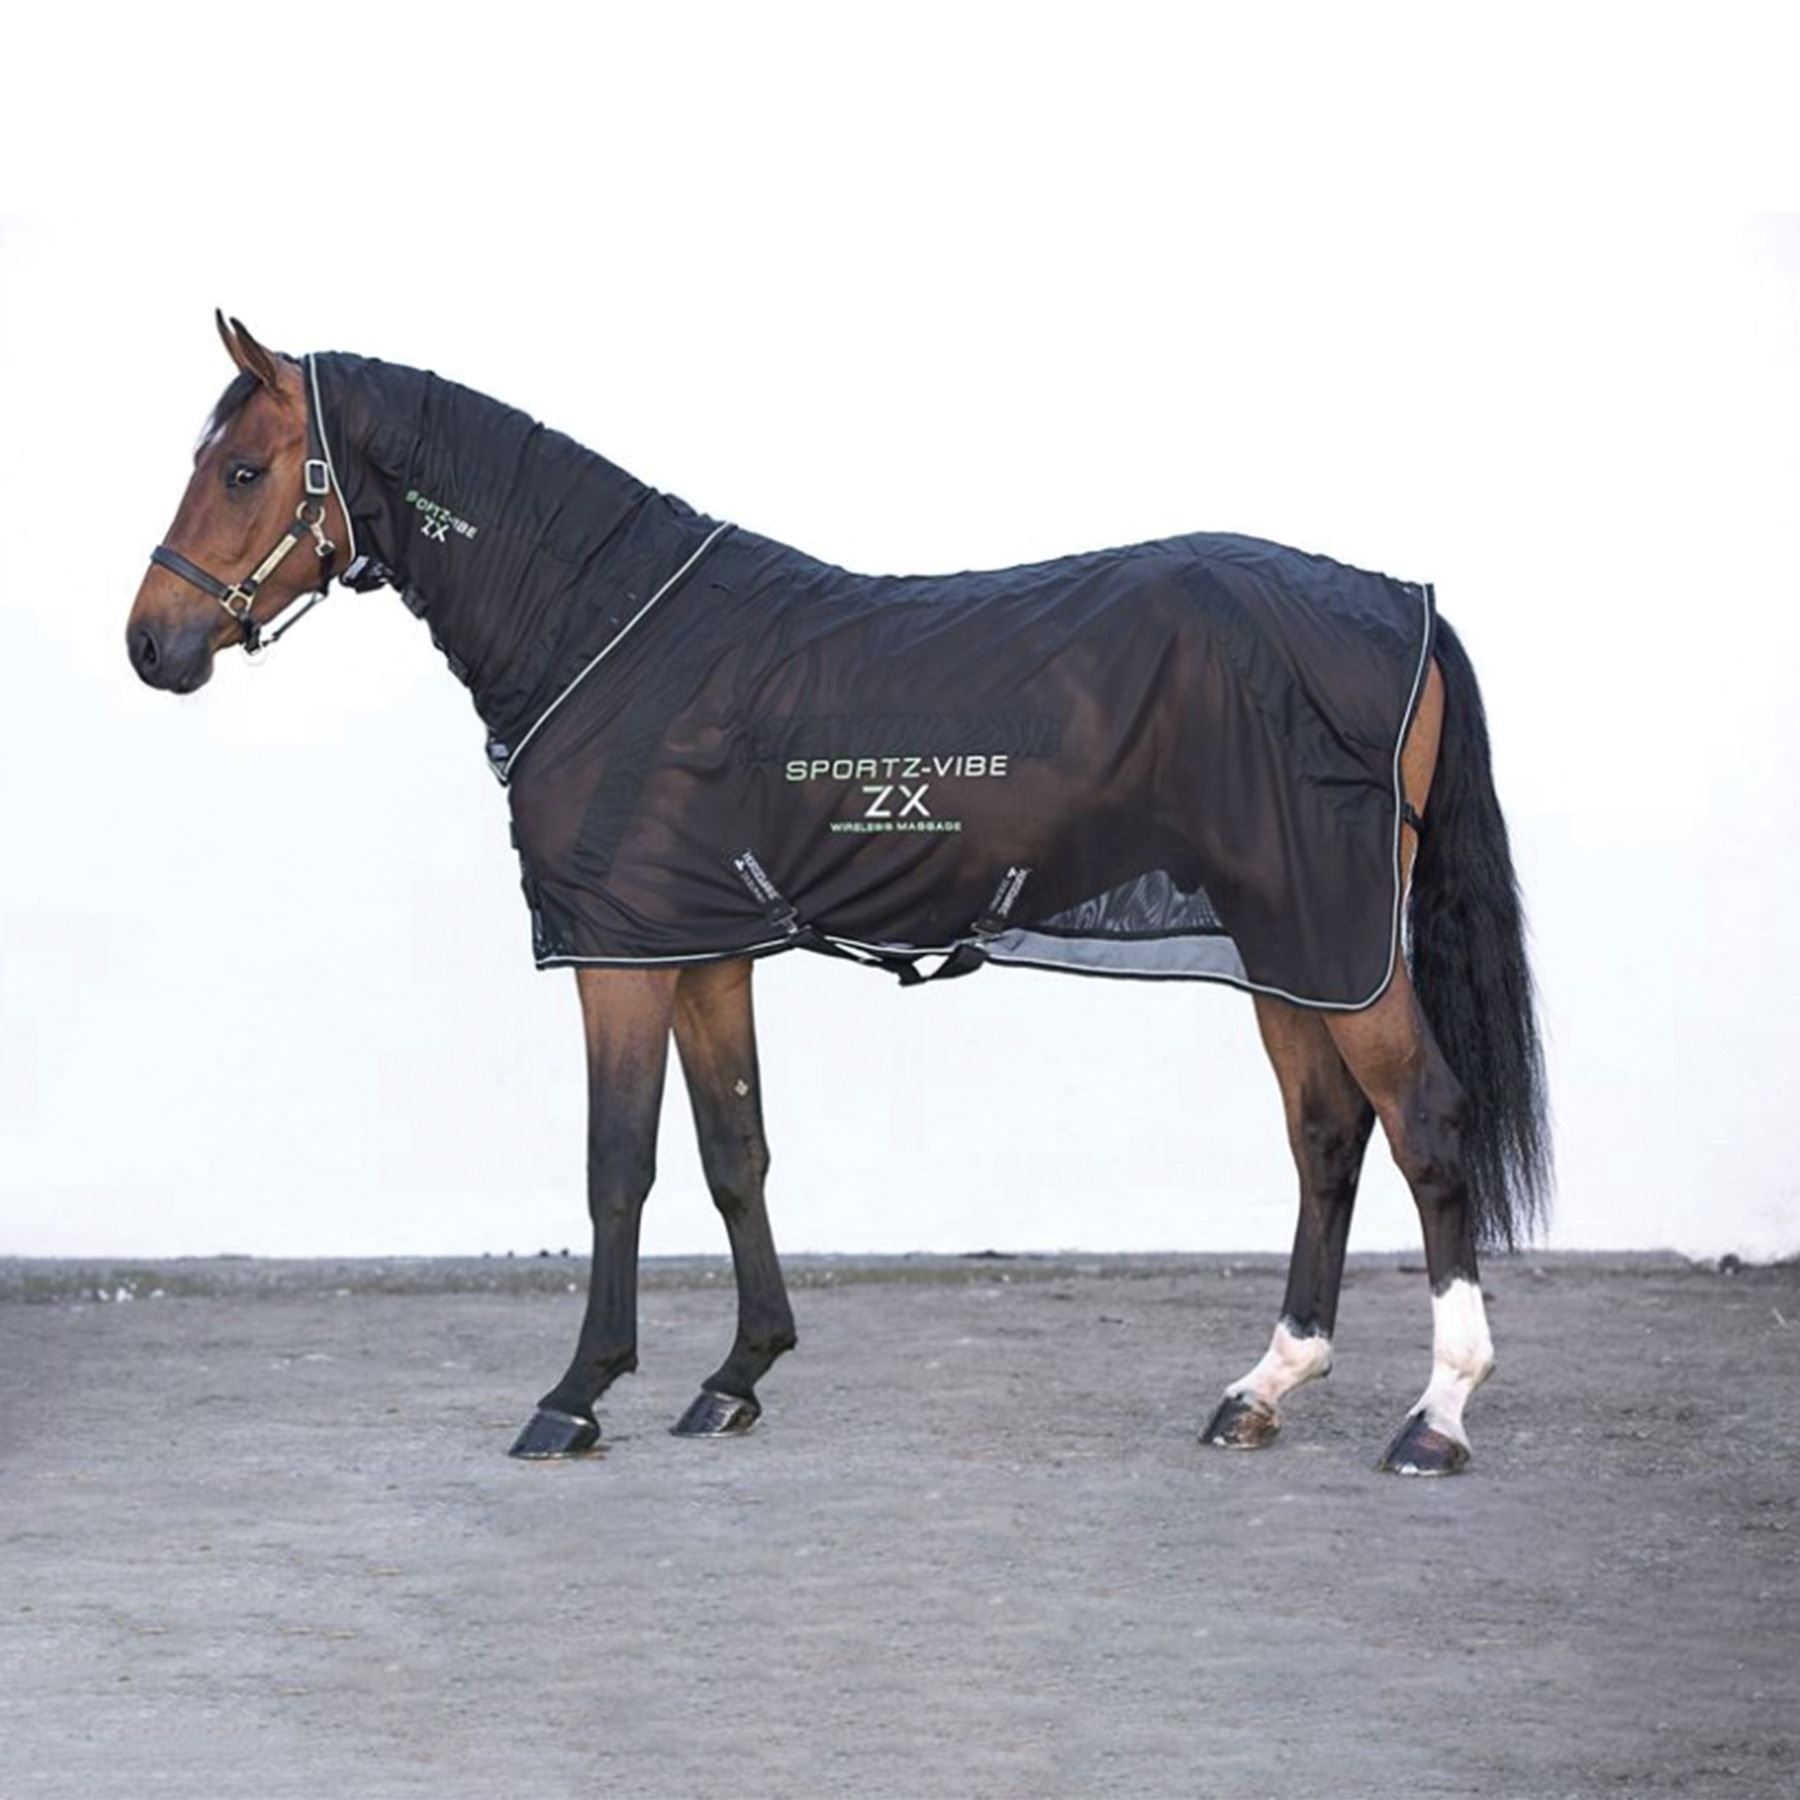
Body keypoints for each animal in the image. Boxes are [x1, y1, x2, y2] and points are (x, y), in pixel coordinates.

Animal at [125, 314, 1549, 1476]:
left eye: (243, 470)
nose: (152, 644)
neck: (603, 629)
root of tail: (1402, 607)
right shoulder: (702, 949)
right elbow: (734, 1154)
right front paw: (735, 1378)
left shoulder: (619, 956)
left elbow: (617, 1165)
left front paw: (576, 1395)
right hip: (1295, 945)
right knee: (1326, 1134)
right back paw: (1263, 1387)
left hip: (1334, 941)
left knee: (1424, 1122)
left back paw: (1437, 1416)